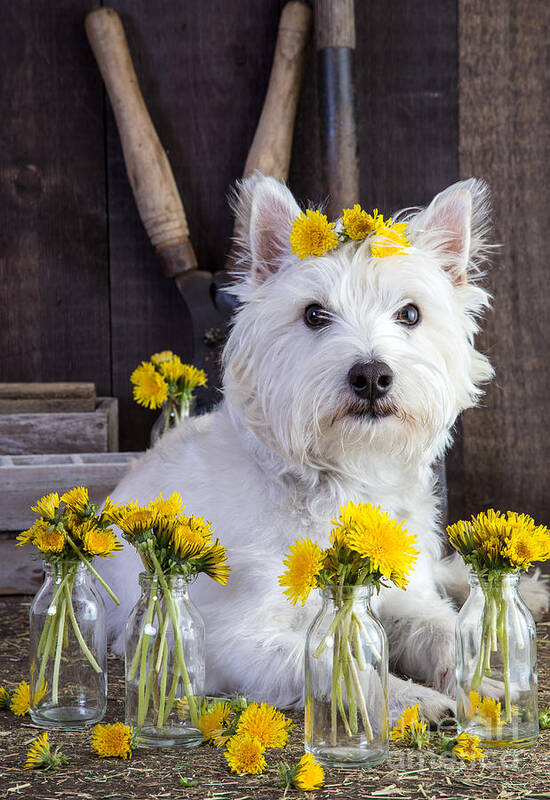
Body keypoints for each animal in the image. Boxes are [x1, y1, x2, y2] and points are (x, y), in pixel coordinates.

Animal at [101, 173, 548, 720]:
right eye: (314, 314)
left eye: (410, 313)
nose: (372, 376)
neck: (347, 477)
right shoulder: (235, 638)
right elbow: (340, 664)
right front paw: (413, 699)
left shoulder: (401, 598)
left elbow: (442, 629)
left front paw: (480, 684)